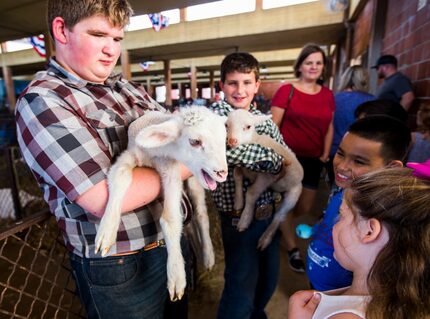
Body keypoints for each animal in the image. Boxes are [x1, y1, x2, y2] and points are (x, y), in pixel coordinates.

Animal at [94, 106, 228, 302]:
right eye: (195, 141)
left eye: (224, 141)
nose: (222, 173)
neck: (155, 154)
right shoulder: (132, 153)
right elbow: (120, 175)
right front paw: (106, 232)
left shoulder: (171, 170)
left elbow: (170, 220)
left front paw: (176, 275)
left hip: (194, 181)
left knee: (201, 214)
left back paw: (208, 255)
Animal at [225, 109, 302, 251]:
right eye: (227, 125)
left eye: (248, 126)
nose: (232, 141)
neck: (255, 140)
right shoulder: (241, 167)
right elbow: (236, 175)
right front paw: (238, 201)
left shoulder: (267, 177)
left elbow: (251, 193)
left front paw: (245, 218)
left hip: (294, 193)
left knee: (279, 217)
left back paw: (265, 239)